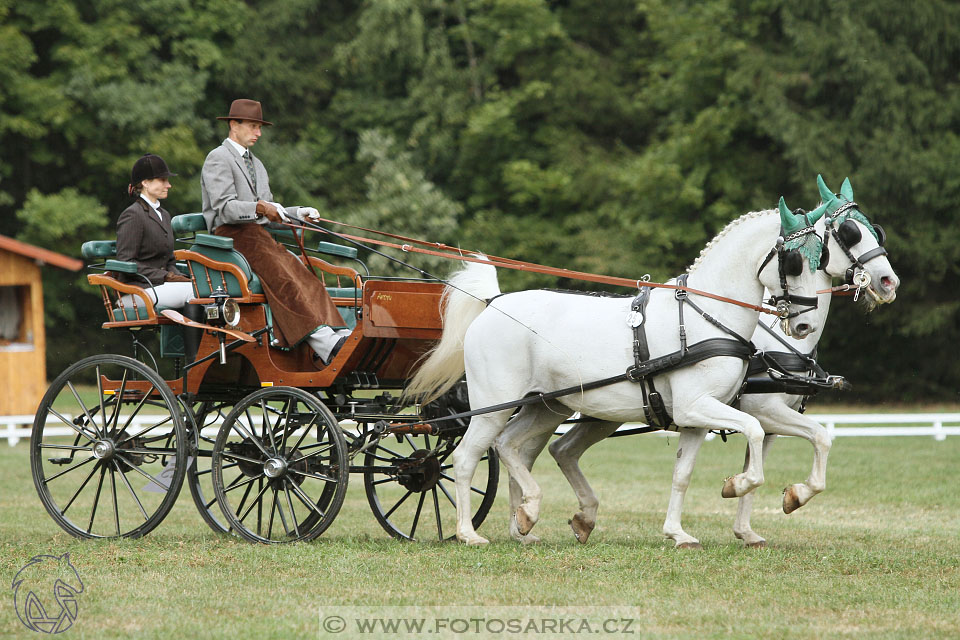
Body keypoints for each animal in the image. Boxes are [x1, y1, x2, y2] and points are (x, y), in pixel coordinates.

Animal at [404, 198, 824, 544]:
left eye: (821, 257)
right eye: (795, 262)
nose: (804, 322)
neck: (707, 317)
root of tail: (493, 303)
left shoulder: (698, 417)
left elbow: (685, 472)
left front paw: (685, 532)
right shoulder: (702, 407)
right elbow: (754, 435)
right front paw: (738, 486)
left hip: (546, 407)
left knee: (512, 447)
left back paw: (528, 520)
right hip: (495, 405)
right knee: (468, 457)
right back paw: (468, 533)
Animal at [502, 176, 900, 552]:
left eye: (874, 229)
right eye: (849, 234)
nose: (888, 282)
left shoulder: (771, 420)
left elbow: (809, 441)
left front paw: (760, 520)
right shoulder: (758, 411)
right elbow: (762, 454)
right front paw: (748, 493)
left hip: (583, 410)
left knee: (549, 450)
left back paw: (550, 521)